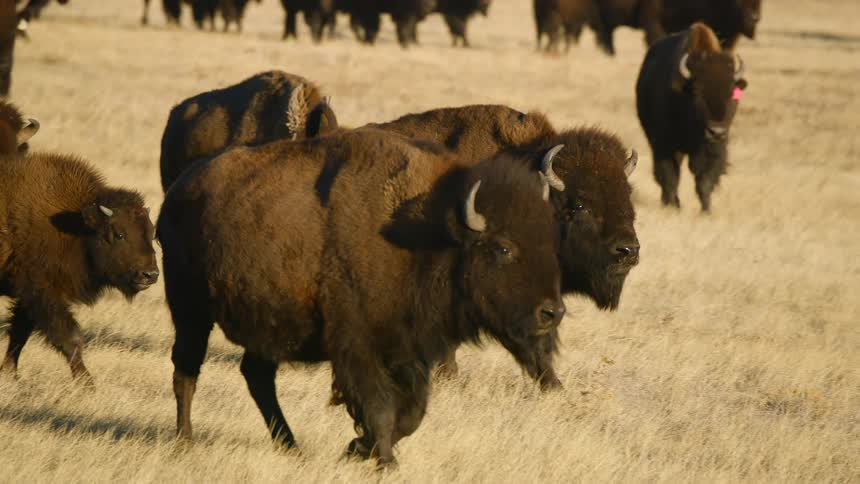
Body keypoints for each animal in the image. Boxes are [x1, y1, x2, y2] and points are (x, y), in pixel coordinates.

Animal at [0, 153, 158, 385]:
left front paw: (9, 373)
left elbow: (20, 333)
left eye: (151, 233)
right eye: (119, 234)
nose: (150, 275)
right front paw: (87, 384)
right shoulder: (41, 291)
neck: (76, 226)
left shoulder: (29, 297)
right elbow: (69, 337)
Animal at [158, 127, 565, 466]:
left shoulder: (407, 348)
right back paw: (185, 442)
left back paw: (291, 447)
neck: (428, 236)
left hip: (265, 323)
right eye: (503, 248)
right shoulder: (358, 346)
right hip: (190, 310)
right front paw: (383, 460)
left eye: (548, 237)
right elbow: (379, 406)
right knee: (186, 371)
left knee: (256, 376)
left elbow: (412, 413)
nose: (552, 312)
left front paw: (358, 448)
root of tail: (177, 193)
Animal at [636, 22, 747, 212]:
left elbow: (705, 180)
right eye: (697, 94)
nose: (716, 132)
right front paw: (673, 207)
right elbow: (669, 176)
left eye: (732, 93)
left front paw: (706, 211)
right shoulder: (665, 145)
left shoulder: (714, 148)